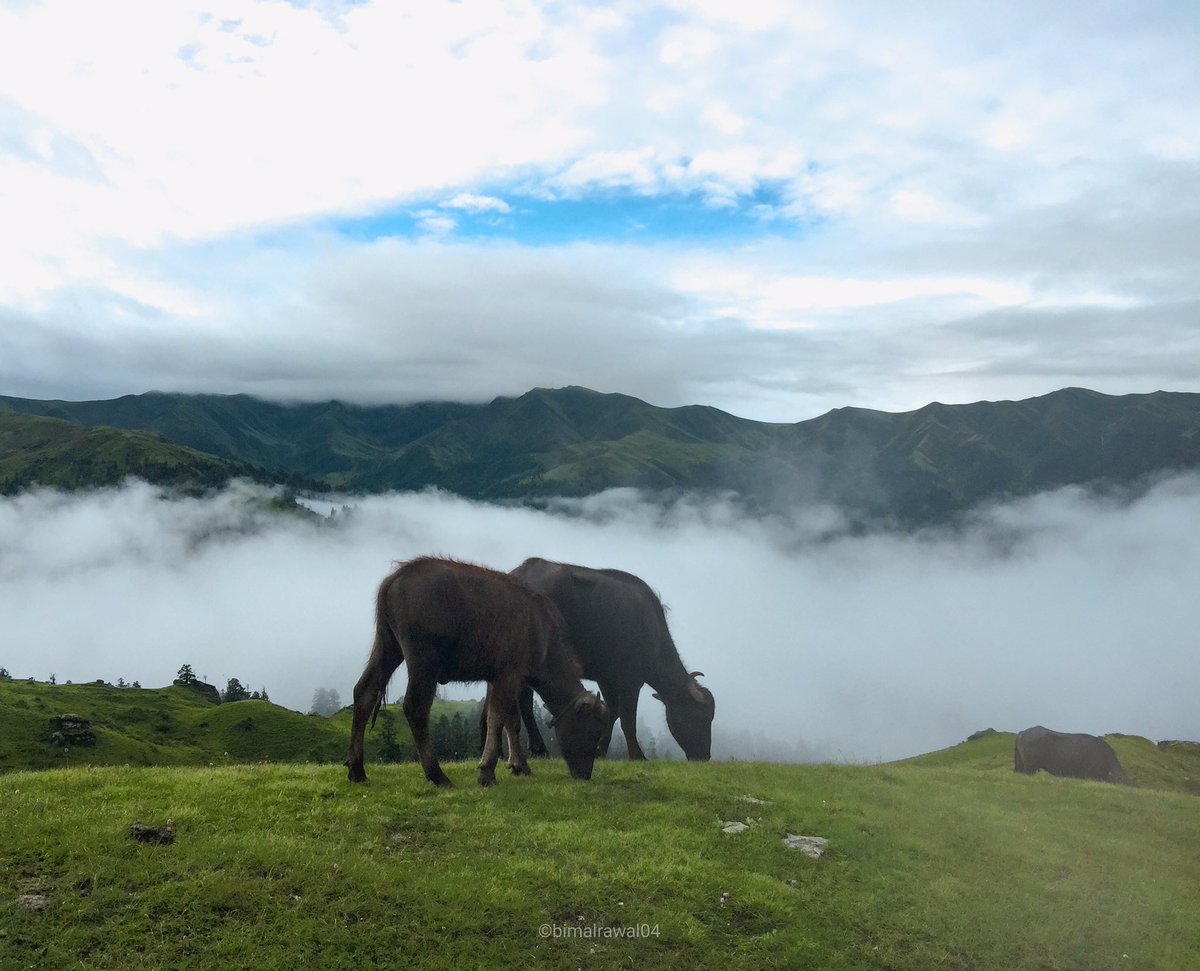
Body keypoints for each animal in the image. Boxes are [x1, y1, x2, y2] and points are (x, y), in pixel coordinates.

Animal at [346, 557, 608, 788]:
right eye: (593, 732)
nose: (585, 774)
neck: (539, 633)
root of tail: (396, 577)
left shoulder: (500, 679)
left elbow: (511, 721)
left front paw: (519, 766)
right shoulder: (508, 676)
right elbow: (497, 720)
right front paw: (487, 772)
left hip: (387, 647)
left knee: (364, 692)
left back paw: (357, 770)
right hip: (423, 663)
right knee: (415, 708)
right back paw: (437, 775)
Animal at [503, 557, 715, 761]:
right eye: (701, 716)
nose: (704, 756)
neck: (651, 631)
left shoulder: (606, 679)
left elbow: (612, 712)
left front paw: (599, 750)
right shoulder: (631, 680)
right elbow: (628, 719)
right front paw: (637, 755)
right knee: (525, 700)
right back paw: (538, 749)